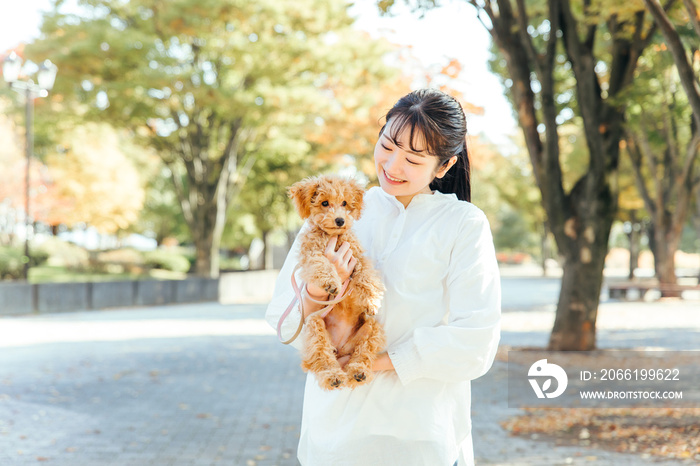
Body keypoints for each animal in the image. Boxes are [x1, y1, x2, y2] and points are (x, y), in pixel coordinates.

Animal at [288, 175, 386, 390]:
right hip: (315, 325)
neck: (332, 236)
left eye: (344, 203)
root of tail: (340, 348)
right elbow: (321, 265)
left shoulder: (357, 257)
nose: (340, 220)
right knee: (322, 357)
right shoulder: (311, 255)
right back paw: (333, 376)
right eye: (325, 203)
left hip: (371, 328)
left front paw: (371, 300)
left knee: (363, 353)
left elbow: (366, 276)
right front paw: (331, 282)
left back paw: (358, 372)